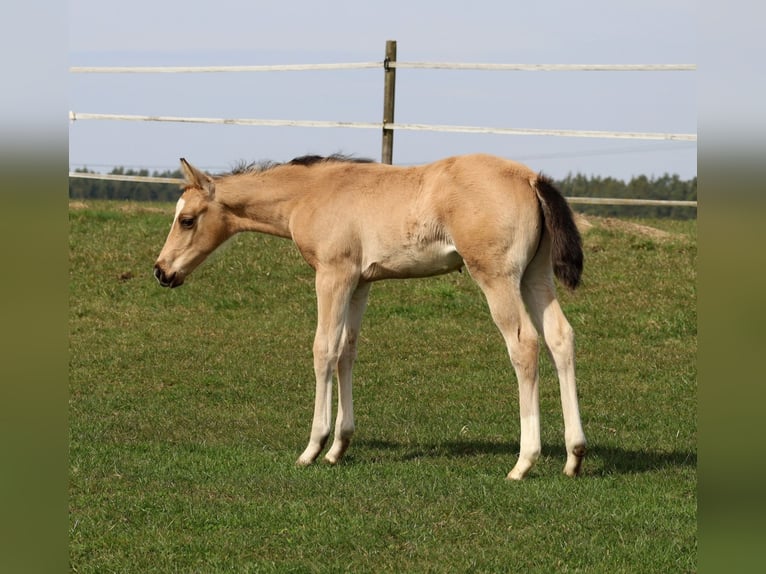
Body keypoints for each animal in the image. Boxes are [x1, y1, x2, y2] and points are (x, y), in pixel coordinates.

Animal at [154, 153, 587, 479]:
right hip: (535, 275)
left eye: (187, 220)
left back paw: (523, 462)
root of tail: (531, 178)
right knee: (560, 338)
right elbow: (347, 351)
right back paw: (574, 455)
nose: (161, 271)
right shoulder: (361, 281)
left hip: (497, 276)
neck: (311, 194)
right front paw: (338, 447)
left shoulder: (333, 275)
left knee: (524, 344)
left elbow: (323, 350)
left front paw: (313, 448)